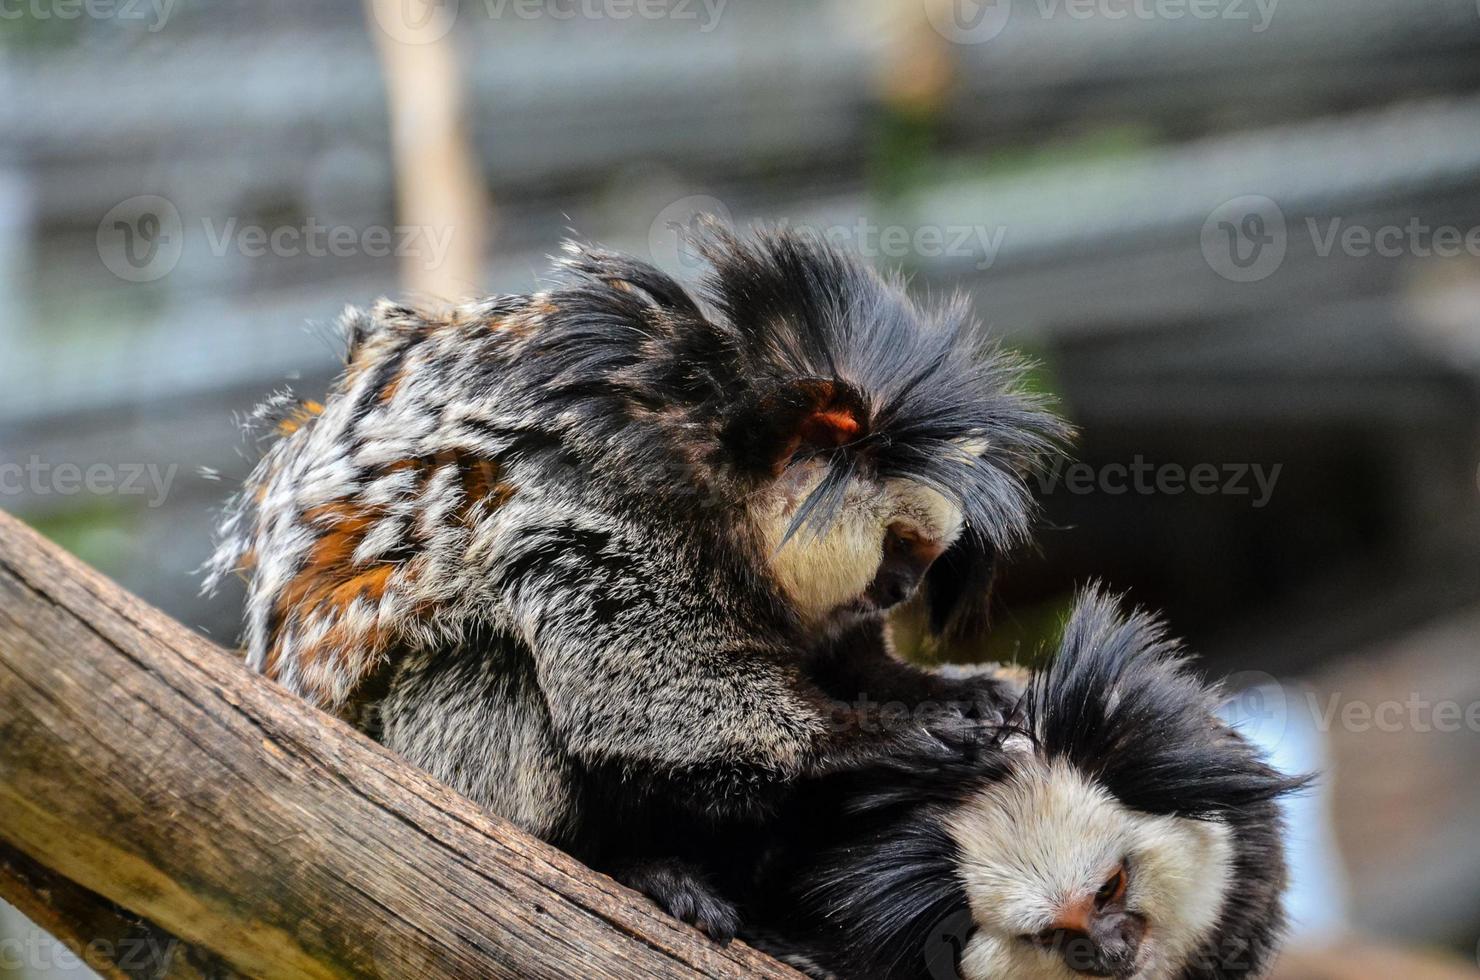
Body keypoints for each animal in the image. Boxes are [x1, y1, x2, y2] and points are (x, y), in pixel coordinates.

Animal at [205, 226, 1065, 941]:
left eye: (923, 555)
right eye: (901, 545)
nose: (898, 589)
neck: (725, 483)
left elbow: (848, 661)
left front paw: (958, 693)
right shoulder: (594, 508)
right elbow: (640, 699)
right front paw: (890, 741)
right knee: (491, 660)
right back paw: (628, 865)